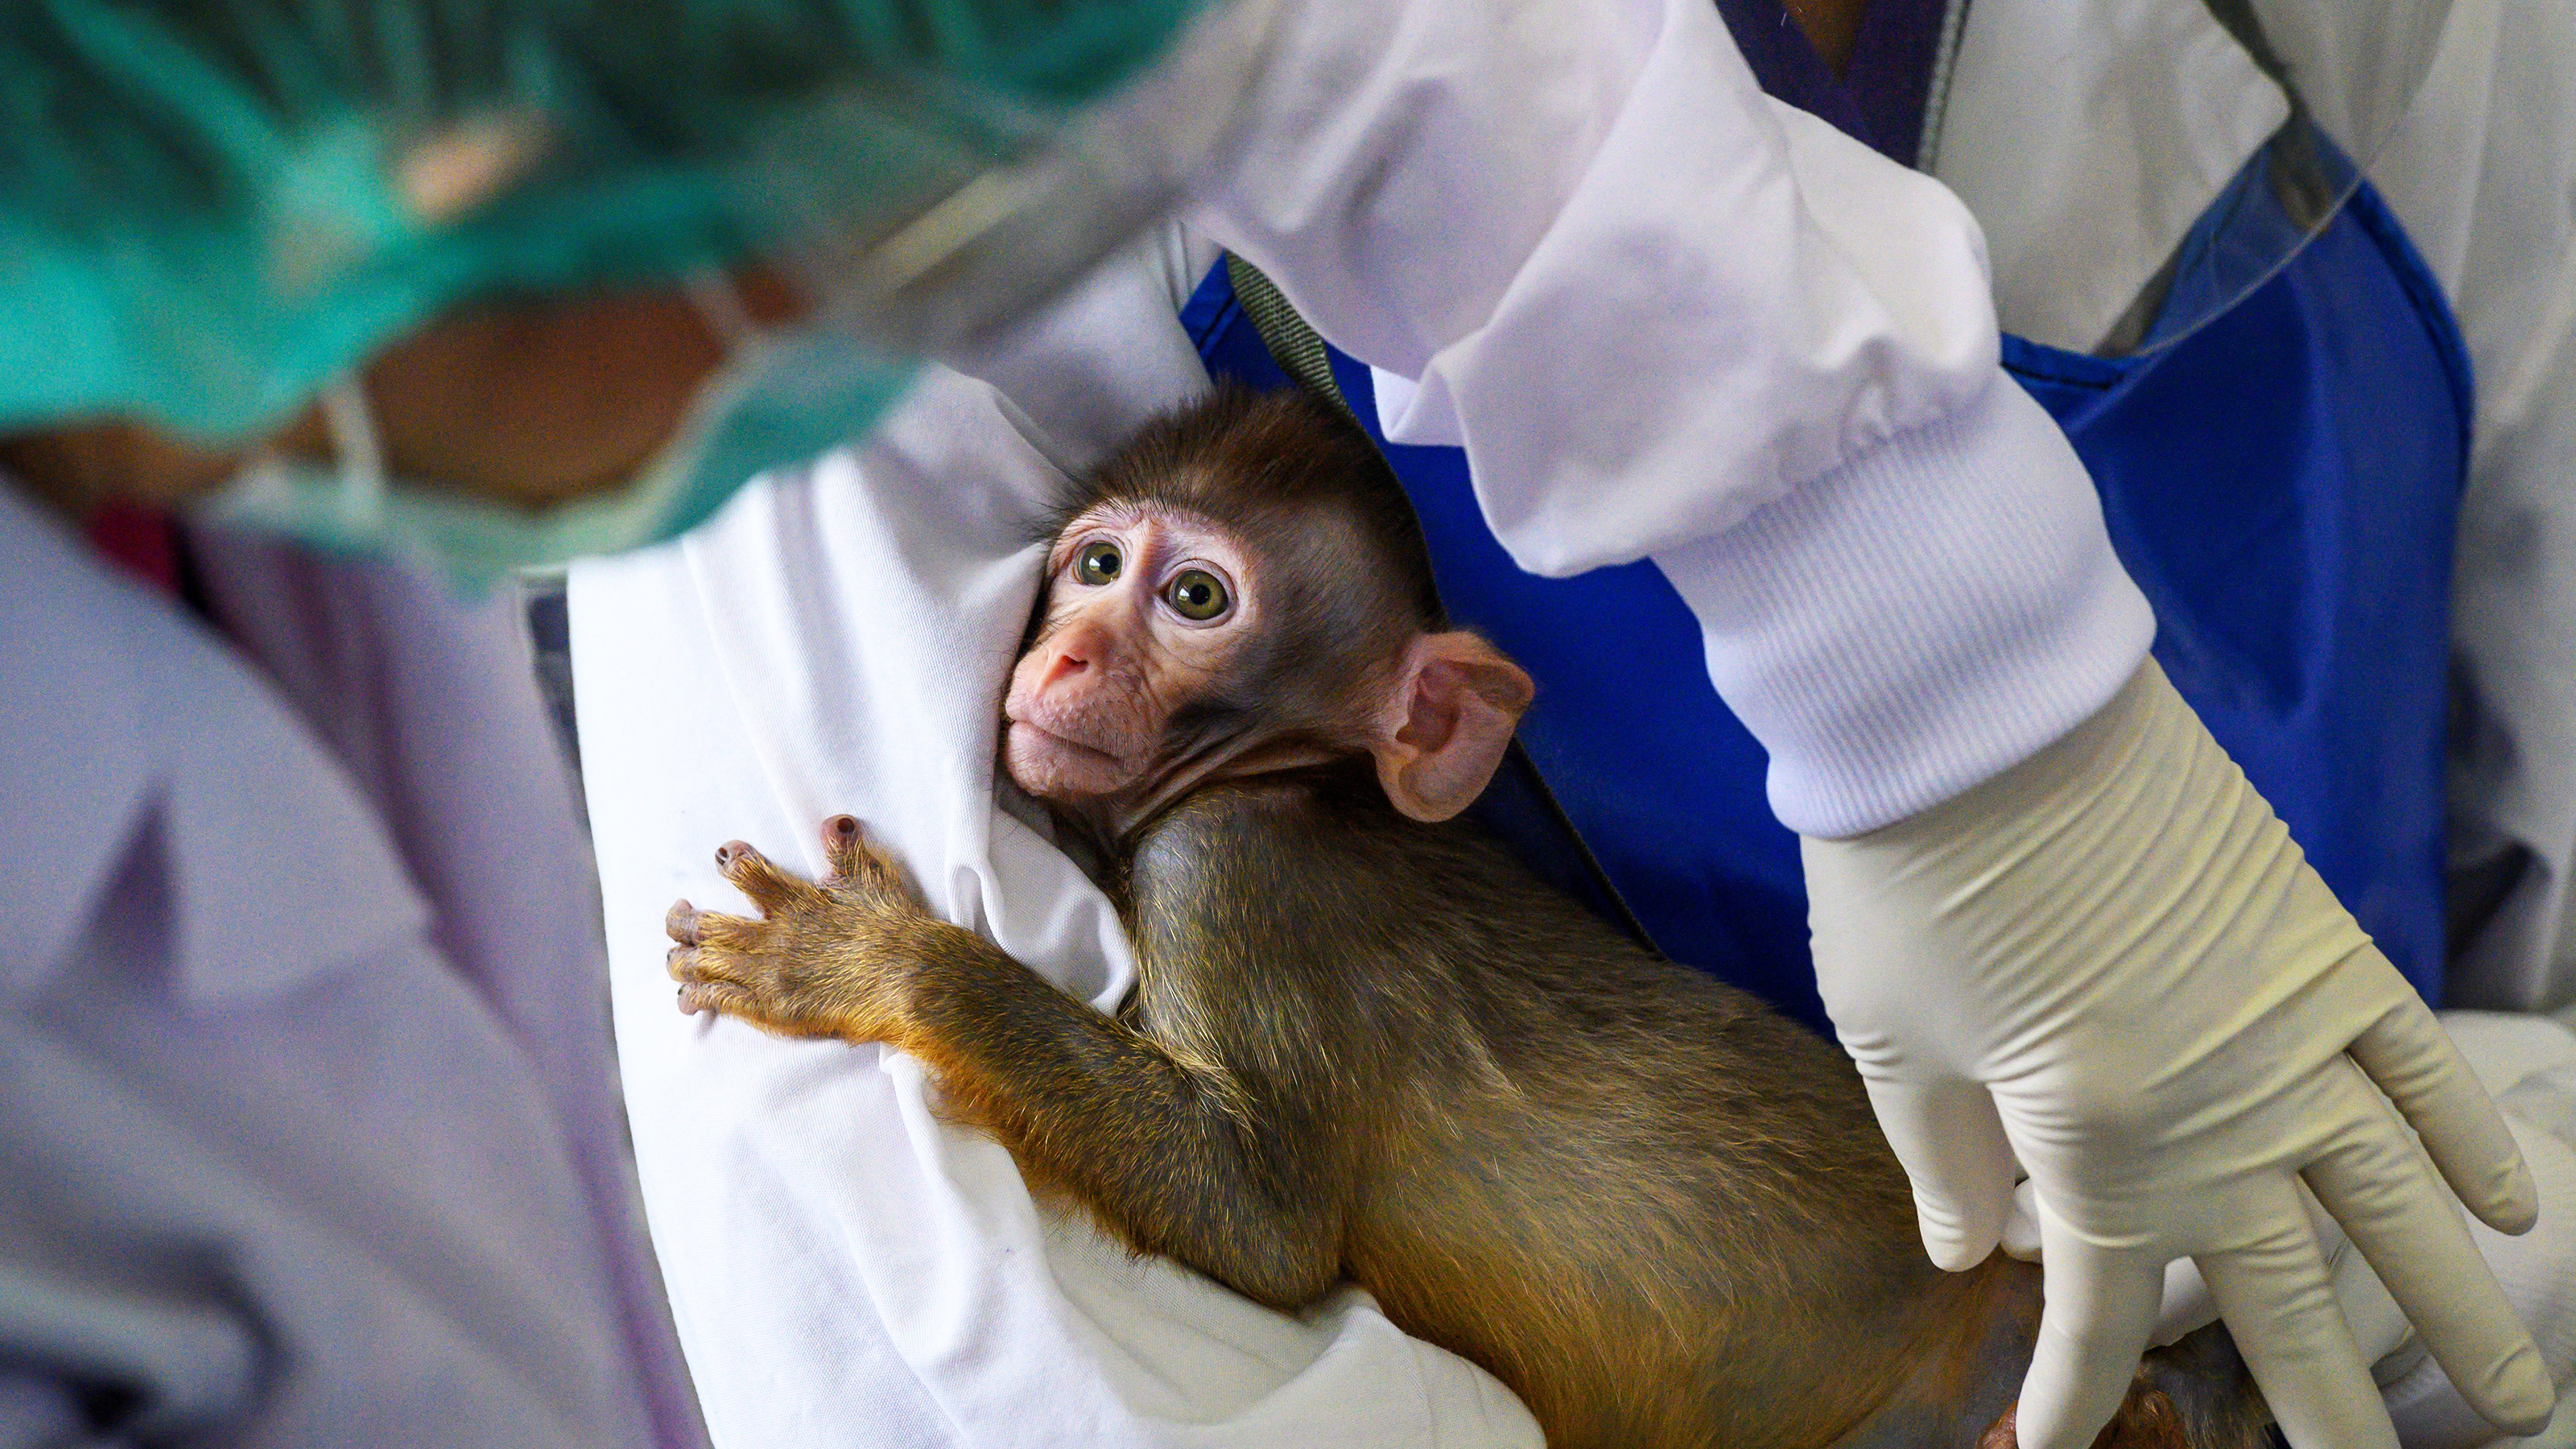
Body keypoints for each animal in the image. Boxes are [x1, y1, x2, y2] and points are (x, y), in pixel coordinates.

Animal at [663, 386, 2271, 1449]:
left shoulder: (1226, 872)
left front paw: (874, 963)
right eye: (1095, 565)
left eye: (1194, 598)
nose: (1058, 657)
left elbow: (1260, 1225)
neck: (1300, 783)